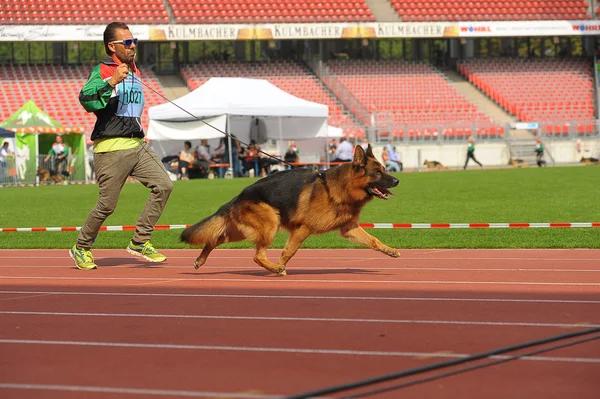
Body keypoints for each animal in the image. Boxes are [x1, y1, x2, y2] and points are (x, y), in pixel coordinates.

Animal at [183, 145, 398, 276]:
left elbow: (373, 240)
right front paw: (281, 267)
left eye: (384, 169)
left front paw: (390, 250)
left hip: (243, 231)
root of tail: (238, 196)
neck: (338, 188)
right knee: (257, 255)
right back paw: (275, 268)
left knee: (215, 239)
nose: (397, 181)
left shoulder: (349, 228)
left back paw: (200, 260)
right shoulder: (302, 229)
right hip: (270, 225)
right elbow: (289, 251)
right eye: (377, 172)